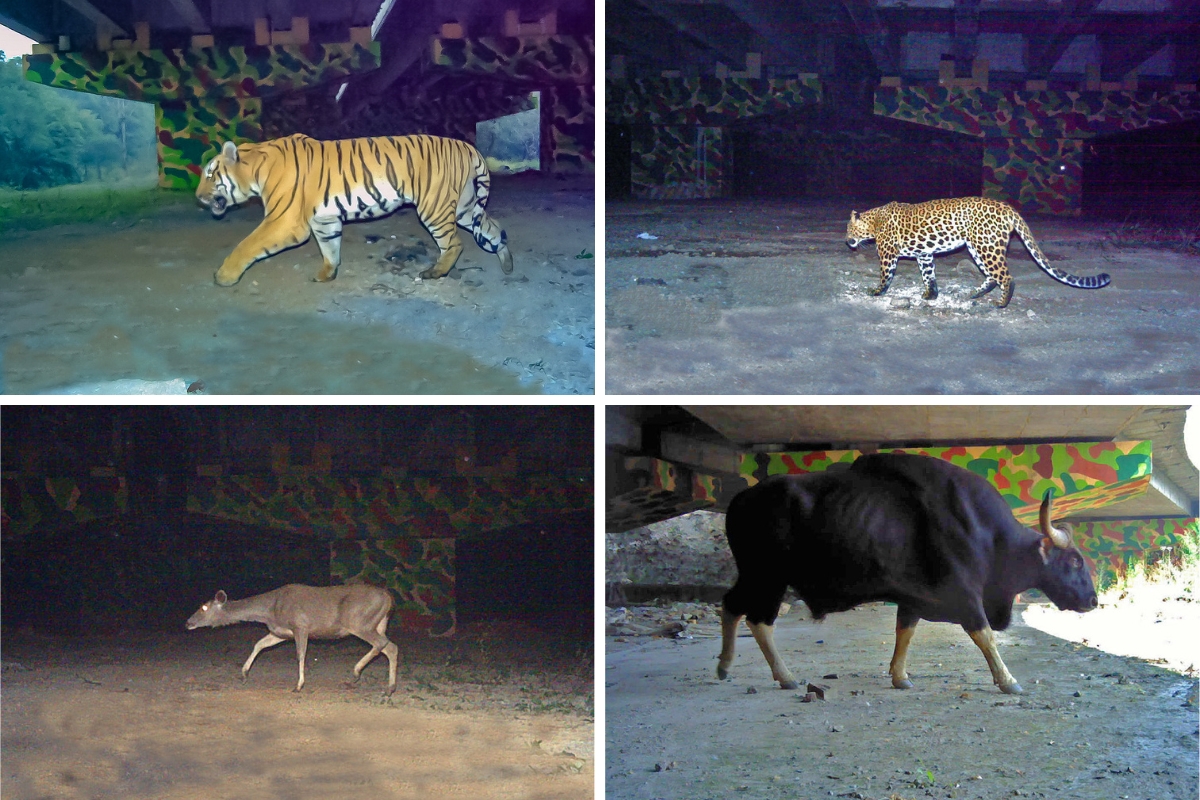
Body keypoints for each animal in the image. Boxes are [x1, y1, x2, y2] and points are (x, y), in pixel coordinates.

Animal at [195, 133, 514, 287]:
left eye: (210, 174)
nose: (198, 198)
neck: (257, 165)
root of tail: (467, 146)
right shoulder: (324, 220)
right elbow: (330, 248)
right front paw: (327, 274)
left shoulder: (283, 221)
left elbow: (247, 245)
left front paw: (224, 277)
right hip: (464, 206)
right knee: (494, 228)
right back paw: (507, 263)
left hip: (434, 207)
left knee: (455, 243)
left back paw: (436, 272)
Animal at [845, 196, 1110, 308]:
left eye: (848, 229)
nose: (847, 241)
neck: (873, 221)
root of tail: (1007, 207)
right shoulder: (925, 254)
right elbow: (929, 275)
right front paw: (931, 295)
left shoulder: (888, 254)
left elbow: (885, 275)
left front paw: (877, 291)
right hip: (978, 246)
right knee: (993, 276)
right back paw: (974, 295)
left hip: (986, 246)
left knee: (1006, 277)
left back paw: (1001, 303)